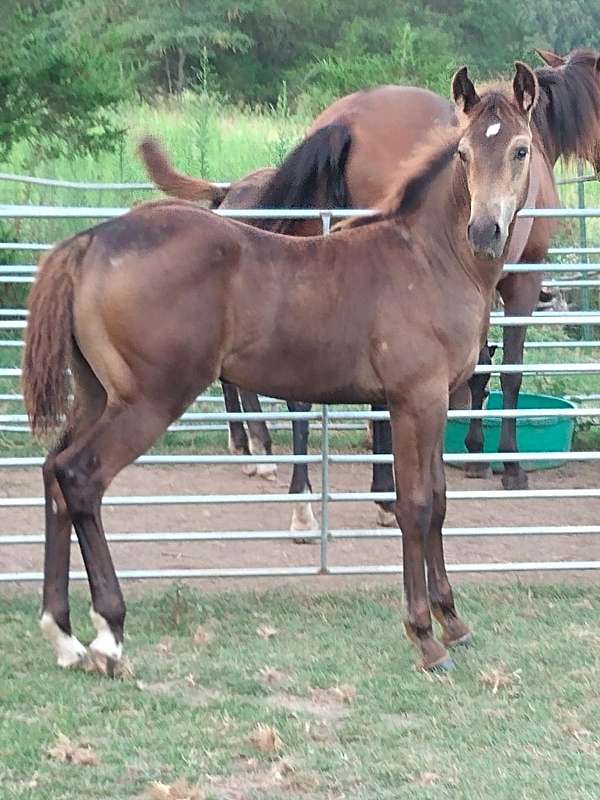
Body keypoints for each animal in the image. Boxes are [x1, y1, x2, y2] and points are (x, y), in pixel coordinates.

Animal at [23, 64, 540, 676]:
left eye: (521, 149)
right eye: (463, 152)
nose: (484, 232)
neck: (428, 257)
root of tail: (90, 241)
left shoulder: (435, 401)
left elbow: (437, 502)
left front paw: (453, 622)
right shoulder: (416, 400)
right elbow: (414, 506)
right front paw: (424, 636)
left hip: (97, 395)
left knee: (54, 473)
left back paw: (62, 635)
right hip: (149, 400)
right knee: (81, 477)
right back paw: (108, 634)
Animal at [139, 51, 600, 524]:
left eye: (519, 151)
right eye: (464, 153)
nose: (484, 230)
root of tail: (345, 121)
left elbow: (481, 368)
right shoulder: (521, 279)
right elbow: (507, 371)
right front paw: (505, 463)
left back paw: (296, 491)